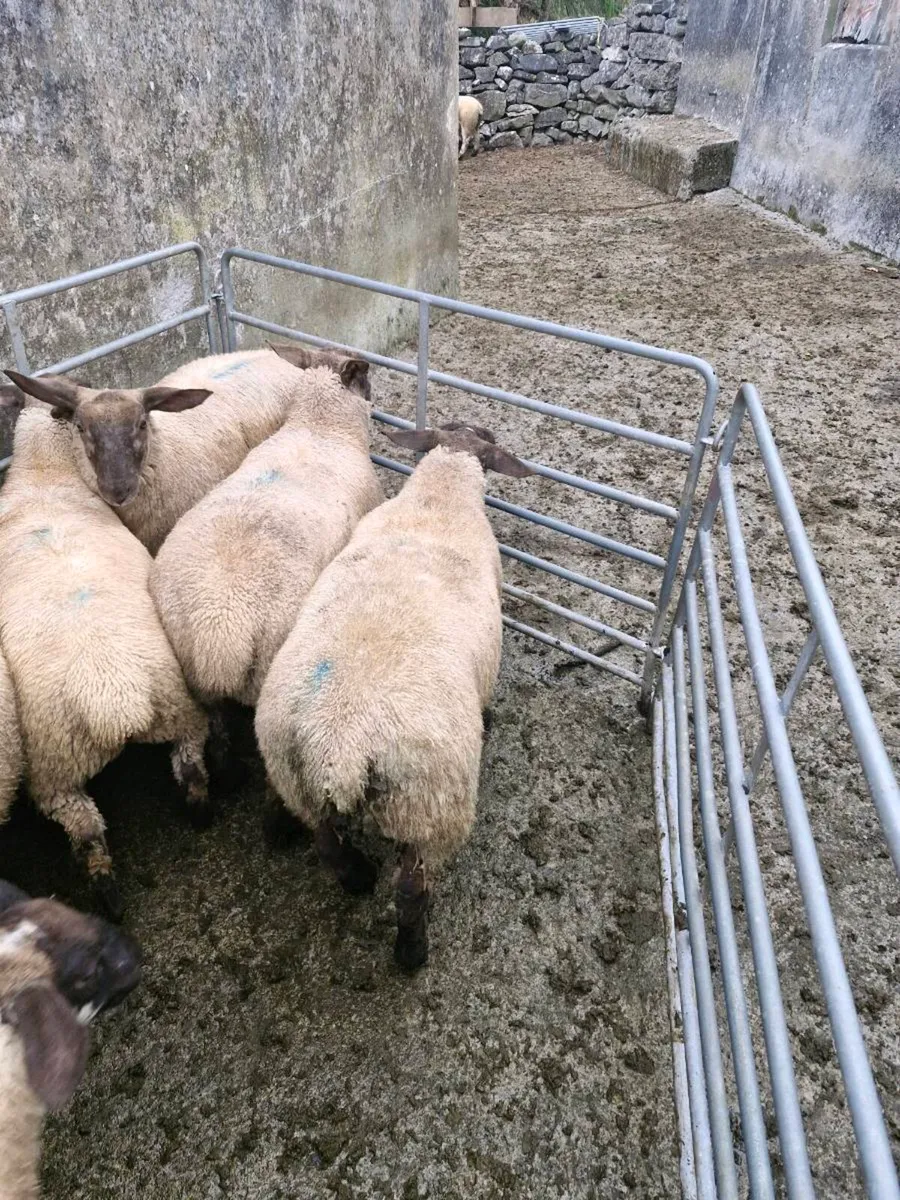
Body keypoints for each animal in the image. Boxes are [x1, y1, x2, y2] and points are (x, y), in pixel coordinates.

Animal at [0, 405, 214, 918]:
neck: (43, 477)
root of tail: (114, 702)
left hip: (55, 771)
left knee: (85, 828)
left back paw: (105, 893)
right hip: (173, 708)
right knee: (190, 765)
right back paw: (198, 813)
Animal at [255, 422, 535, 969]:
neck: (435, 503)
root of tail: (340, 746)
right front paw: (489, 719)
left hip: (296, 778)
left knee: (326, 844)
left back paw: (359, 876)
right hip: (427, 807)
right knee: (409, 889)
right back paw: (411, 952)